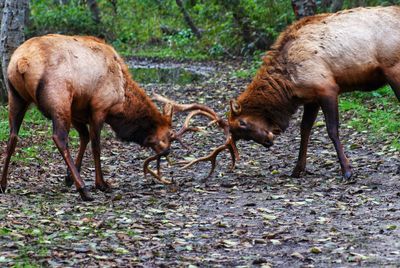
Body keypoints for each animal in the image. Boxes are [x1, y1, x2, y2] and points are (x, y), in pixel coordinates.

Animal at [0, 34, 234, 201]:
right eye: (168, 135)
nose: (167, 151)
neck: (122, 100)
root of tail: (21, 62)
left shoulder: (78, 111)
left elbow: (84, 138)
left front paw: (68, 178)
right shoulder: (99, 107)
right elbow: (96, 145)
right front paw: (101, 183)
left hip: (16, 97)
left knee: (12, 137)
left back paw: (3, 184)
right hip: (59, 98)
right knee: (59, 138)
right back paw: (84, 190)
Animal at [192, 5, 398, 180]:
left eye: (242, 123)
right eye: (240, 135)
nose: (268, 141)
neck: (288, 87)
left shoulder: (327, 87)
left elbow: (332, 130)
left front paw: (347, 171)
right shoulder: (311, 98)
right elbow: (304, 129)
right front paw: (298, 169)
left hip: (394, 69)